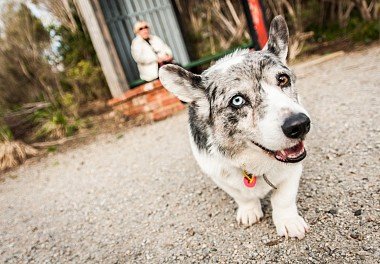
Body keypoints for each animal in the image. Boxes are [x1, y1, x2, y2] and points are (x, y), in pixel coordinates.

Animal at [159, 16, 310, 239]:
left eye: (283, 79)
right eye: (237, 100)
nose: (299, 125)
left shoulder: (293, 171)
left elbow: (283, 197)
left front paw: (289, 222)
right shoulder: (218, 175)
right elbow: (242, 196)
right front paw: (249, 211)